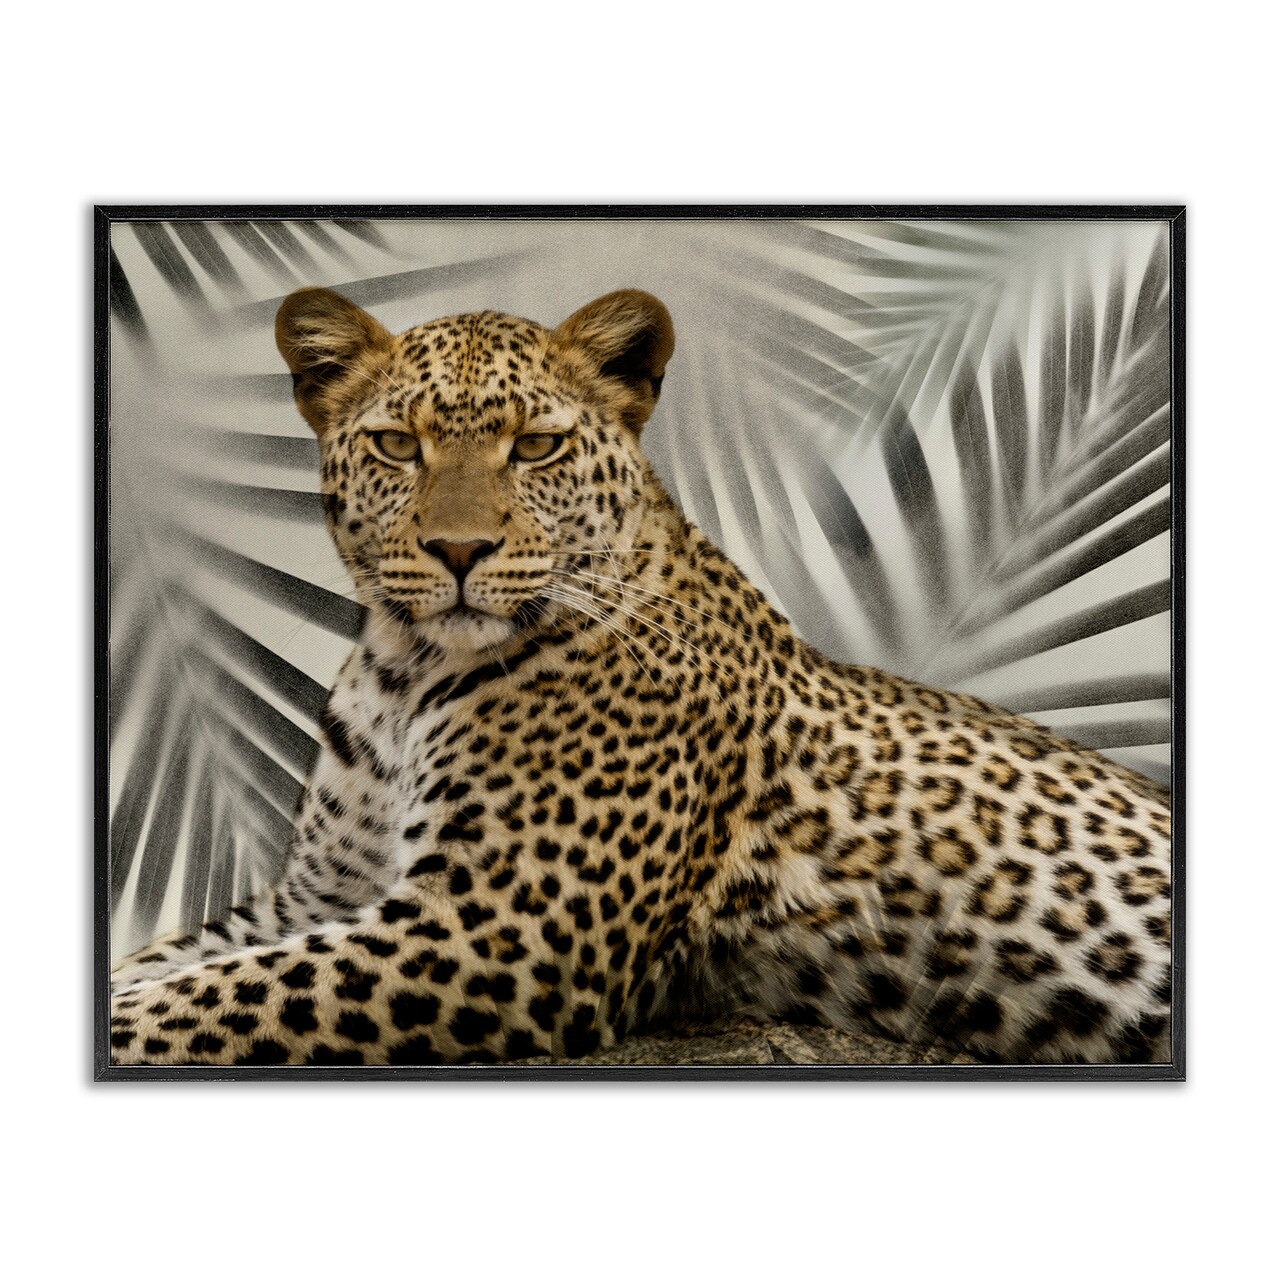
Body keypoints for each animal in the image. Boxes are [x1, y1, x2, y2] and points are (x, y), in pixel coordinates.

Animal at [109, 286, 1173, 1067]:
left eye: (536, 446)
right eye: (397, 445)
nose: (459, 550)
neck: (406, 672)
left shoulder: (497, 928)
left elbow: (200, 1000)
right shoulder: (317, 899)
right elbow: (167, 963)